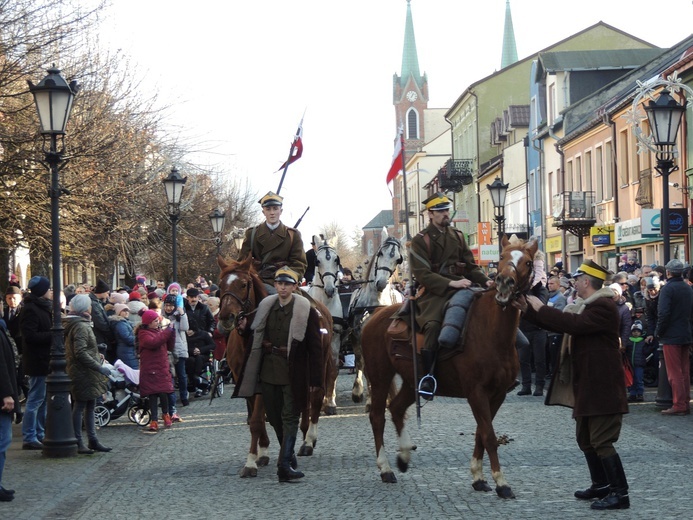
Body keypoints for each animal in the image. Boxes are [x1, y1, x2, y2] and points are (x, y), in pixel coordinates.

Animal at [216, 256, 336, 480]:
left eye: (243, 284)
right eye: (220, 286)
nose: (226, 318)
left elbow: (257, 420)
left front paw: (251, 462)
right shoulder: (243, 380)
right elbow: (260, 419)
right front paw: (262, 452)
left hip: (318, 363)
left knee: (315, 397)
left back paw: (308, 440)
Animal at [348, 228, 402, 406]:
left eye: (398, 259)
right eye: (380, 253)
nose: (381, 283)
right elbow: (365, 366)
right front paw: (370, 398)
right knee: (359, 363)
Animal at [360, 238, 536, 498]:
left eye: (528, 262)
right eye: (502, 257)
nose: (504, 282)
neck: (492, 331)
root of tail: (374, 315)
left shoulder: (498, 394)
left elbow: (481, 434)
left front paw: (478, 477)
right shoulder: (476, 393)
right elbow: (489, 436)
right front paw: (501, 483)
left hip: (412, 381)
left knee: (397, 409)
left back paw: (404, 456)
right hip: (380, 377)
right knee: (377, 417)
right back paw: (385, 469)